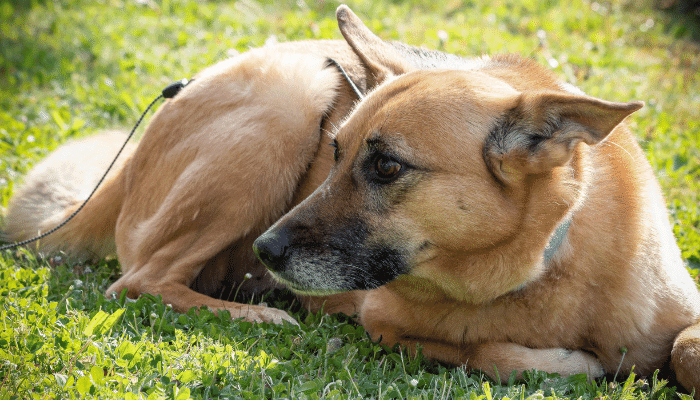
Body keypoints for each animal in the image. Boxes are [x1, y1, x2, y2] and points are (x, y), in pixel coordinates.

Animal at [5, 3, 700, 396]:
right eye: (335, 151)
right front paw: (564, 362)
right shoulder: (384, 320)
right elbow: (493, 353)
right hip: (284, 104)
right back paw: (259, 313)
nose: (267, 250)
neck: (547, 266)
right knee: (139, 280)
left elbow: (684, 348)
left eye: (386, 166)